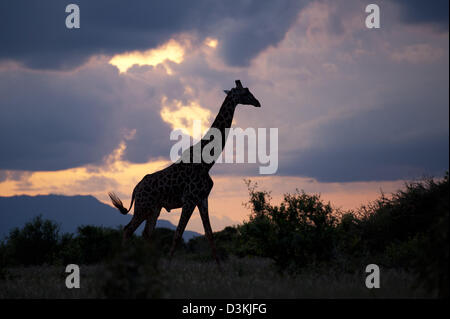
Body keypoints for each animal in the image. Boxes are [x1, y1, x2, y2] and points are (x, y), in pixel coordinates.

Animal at [108, 80, 260, 264]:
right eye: (245, 92)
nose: (258, 102)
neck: (207, 162)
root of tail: (136, 188)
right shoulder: (189, 199)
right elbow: (178, 234)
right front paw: (168, 266)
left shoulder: (202, 199)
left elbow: (209, 235)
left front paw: (221, 268)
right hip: (143, 206)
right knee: (128, 229)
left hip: (154, 208)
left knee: (146, 234)